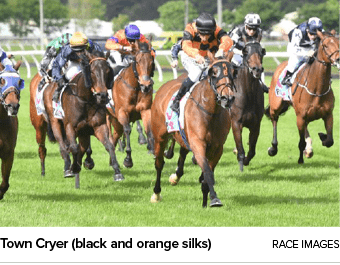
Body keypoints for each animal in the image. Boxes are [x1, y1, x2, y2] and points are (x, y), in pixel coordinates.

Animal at [42, 49, 123, 183]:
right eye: (92, 71)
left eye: (107, 71)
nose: (102, 96)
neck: (85, 100)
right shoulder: (70, 126)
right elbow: (74, 147)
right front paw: (73, 167)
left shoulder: (98, 126)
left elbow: (109, 146)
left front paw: (117, 172)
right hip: (55, 123)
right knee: (63, 146)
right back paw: (67, 167)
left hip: (83, 132)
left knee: (82, 147)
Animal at [150, 53, 238, 206]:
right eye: (214, 73)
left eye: (233, 72)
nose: (227, 97)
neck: (210, 112)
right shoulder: (198, 143)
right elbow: (207, 171)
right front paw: (214, 199)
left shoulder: (217, 148)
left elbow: (208, 172)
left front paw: (207, 199)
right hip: (160, 137)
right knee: (159, 164)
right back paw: (156, 193)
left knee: (182, 153)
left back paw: (175, 177)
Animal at [228, 40, 266, 170]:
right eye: (245, 51)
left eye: (261, 52)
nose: (257, 69)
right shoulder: (236, 122)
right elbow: (240, 149)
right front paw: (241, 161)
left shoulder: (256, 124)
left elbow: (252, 150)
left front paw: (245, 160)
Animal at [266, 30, 338, 163]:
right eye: (325, 45)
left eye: (338, 43)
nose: (338, 58)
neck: (317, 89)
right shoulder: (300, 117)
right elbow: (301, 142)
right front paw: (300, 159)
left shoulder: (328, 115)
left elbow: (330, 141)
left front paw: (322, 136)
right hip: (275, 106)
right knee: (274, 119)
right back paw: (273, 148)